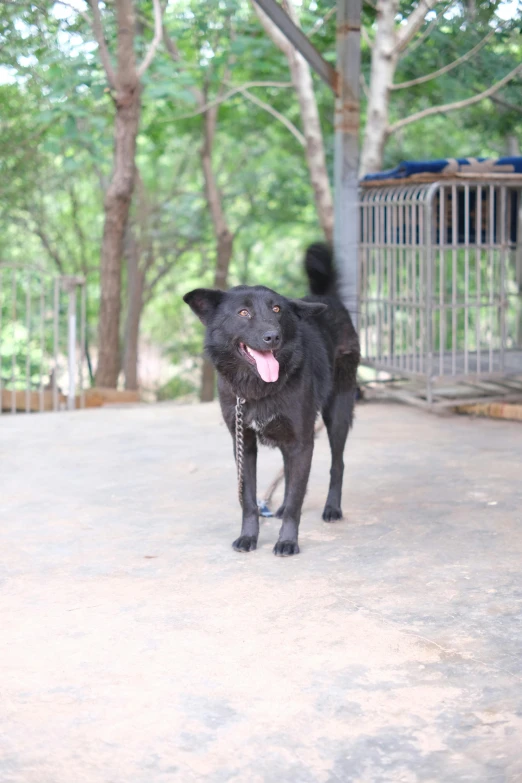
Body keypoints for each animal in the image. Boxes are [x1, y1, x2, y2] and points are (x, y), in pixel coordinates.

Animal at [185, 245, 360, 556]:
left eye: (277, 309)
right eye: (243, 312)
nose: (273, 336)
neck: (256, 388)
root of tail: (327, 299)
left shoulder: (302, 441)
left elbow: (295, 503)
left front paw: (287, 541)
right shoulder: (244, 444)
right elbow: (249, 499)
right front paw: (248, 537)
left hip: (337, 413)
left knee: (336, 464)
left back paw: (332, 508)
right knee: (290, 474)